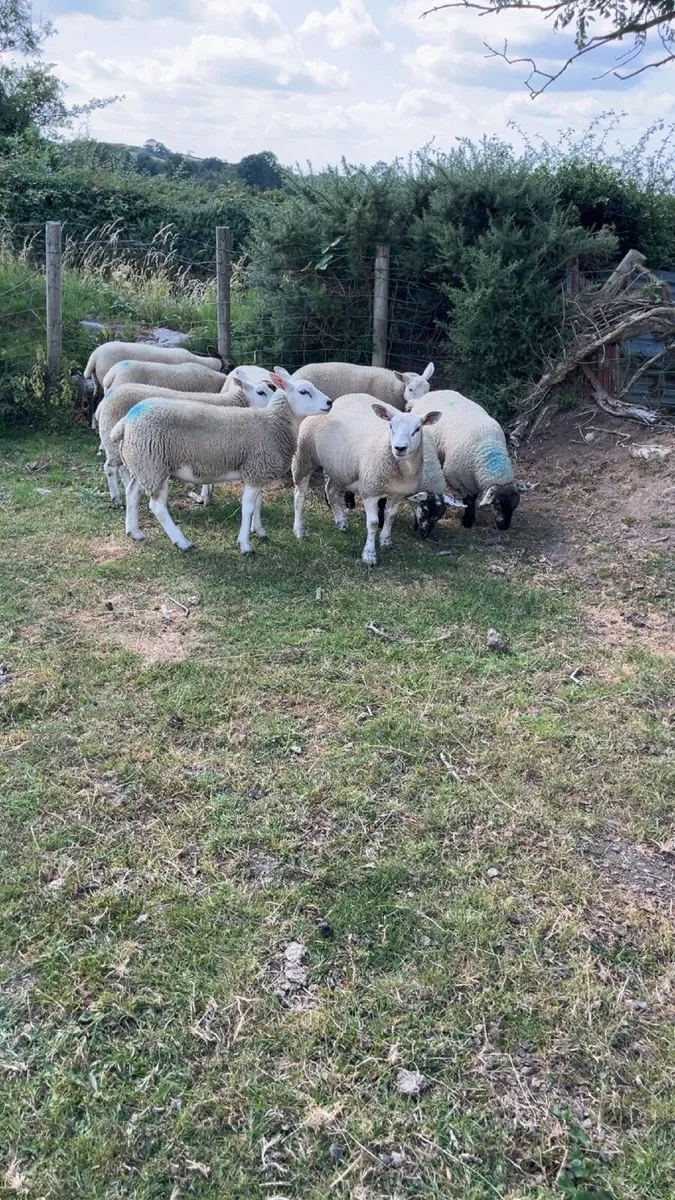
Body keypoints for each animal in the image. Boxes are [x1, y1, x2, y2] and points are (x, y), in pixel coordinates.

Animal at [96, 370, 274, 507]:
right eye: (261, 392)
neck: (232, 402)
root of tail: (107, 399)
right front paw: (206, 497)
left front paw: (207, 496)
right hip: (114, 441)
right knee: (110, 468)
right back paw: (117, 499)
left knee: (123, 469)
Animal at [292, 393, 441, 564]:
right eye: (391, 426)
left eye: (417, 429)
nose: (399, 448)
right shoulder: (370, 490)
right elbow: (373, 523)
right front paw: (369, 555)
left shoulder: (397, 493)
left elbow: (390, 517)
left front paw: (386, 541)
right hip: (303, 458)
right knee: (299, 497)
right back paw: (299, 530)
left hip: (339, 469)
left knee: (331, 491)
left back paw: (341, 522)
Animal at [408, 391, 520, 530]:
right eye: (497, 504)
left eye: (515, 506)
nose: (504, 527)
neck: (489, 451)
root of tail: (429, 394)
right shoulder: (457, 479)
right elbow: (469, 501)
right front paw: (467, 521)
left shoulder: (472, 481)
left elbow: (474, 497)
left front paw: (471, 517)